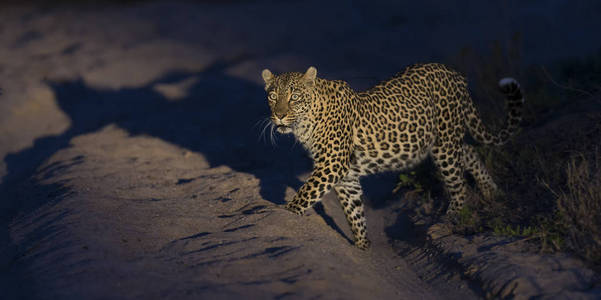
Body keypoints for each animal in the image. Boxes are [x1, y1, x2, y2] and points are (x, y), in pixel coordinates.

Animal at [260, 62, 524, 250]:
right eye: (272, 96)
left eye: (294, 96)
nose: (279, 116)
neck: (305, 122)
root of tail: (456, 74)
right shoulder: (346, 176)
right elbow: (354, 211)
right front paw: (363, 245)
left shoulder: (332, 165)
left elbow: (307, 191)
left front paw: (286, 212)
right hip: (446, 140)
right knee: (470, 152)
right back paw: (492, 191)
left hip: (445, 144)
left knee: (459, 184)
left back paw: (453, 216)